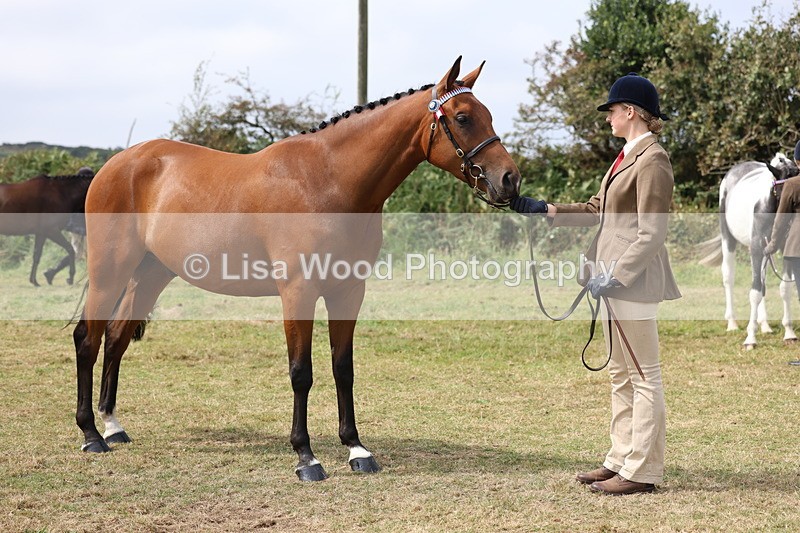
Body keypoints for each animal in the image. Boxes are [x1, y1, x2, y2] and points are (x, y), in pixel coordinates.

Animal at [72, 57, 521, 481]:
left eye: (488, 114)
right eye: (462, 118)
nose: (509, 179)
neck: (328, 181)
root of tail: (115, 165)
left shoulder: (348, 291)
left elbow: (343, 368)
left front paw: (357, 449)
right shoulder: (298, 292)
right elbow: (301, 372)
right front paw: (306, 457)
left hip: (151, 274)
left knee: (116, 337)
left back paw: (113, 426)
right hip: (109, 272)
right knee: (88, 339)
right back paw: (92, 435)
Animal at [699, 153, 800, 348]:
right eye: (781, 191)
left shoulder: (783, 249)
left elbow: (783, 288)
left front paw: (789, 333)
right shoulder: (756, 248)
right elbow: (755, 293)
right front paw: (750, 338)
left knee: (762, 282)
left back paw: (765, 325)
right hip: (729, 240)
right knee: (729, 277)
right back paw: (732, 323)